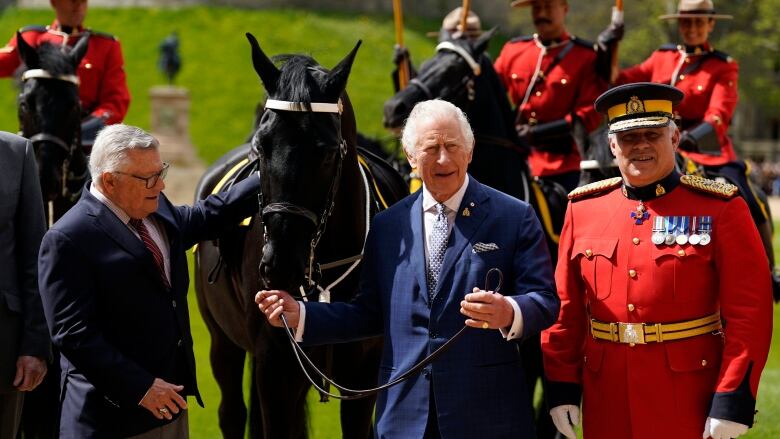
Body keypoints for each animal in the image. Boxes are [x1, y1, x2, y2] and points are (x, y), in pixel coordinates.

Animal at [193, 34, 408, 439]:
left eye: (325, 152)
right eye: (262, 146)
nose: (280, 265)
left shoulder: (364, 374)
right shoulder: (275, 368)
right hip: (222, 342)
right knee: (232, 412)